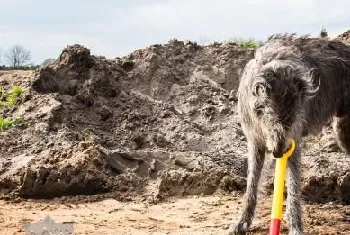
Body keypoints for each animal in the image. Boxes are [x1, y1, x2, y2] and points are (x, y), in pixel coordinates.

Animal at [231, 35, 350, 235]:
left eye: (294, 116)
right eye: (267, 112)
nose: (279, 152)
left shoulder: (294, 139)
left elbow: (293, 184)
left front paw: (295, 227)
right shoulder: (255, 141)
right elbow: (252, 182)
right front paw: (242, 221)